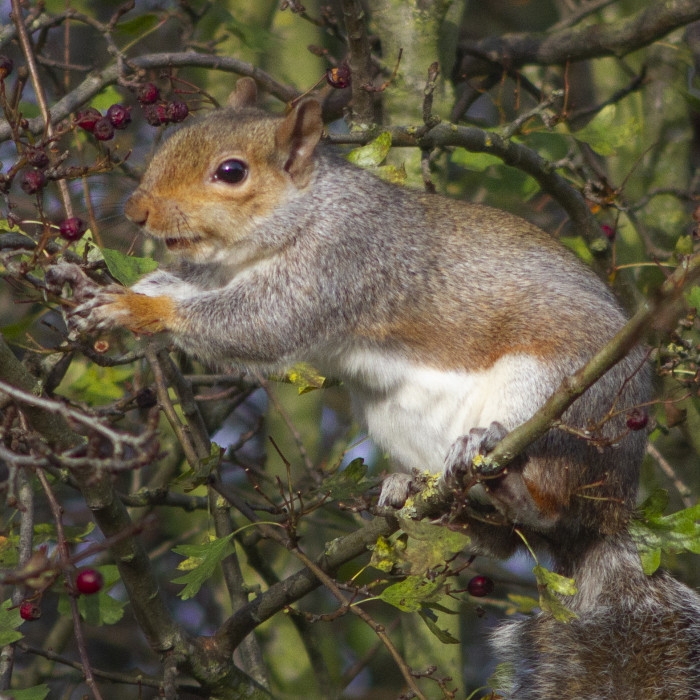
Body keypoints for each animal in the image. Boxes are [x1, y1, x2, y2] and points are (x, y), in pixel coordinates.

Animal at [72, 79, 700, 696]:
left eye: (231, 172)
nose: (136, 209)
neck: (292, 220)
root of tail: (613, 509)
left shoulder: (340, 263)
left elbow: (261, 324)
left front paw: (139, 308)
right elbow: (186, 289)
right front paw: (102, 290)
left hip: (555, 399)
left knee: (549, 505)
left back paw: (505, 475)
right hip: (393, 416)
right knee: (503, 541)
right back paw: (420, 494)